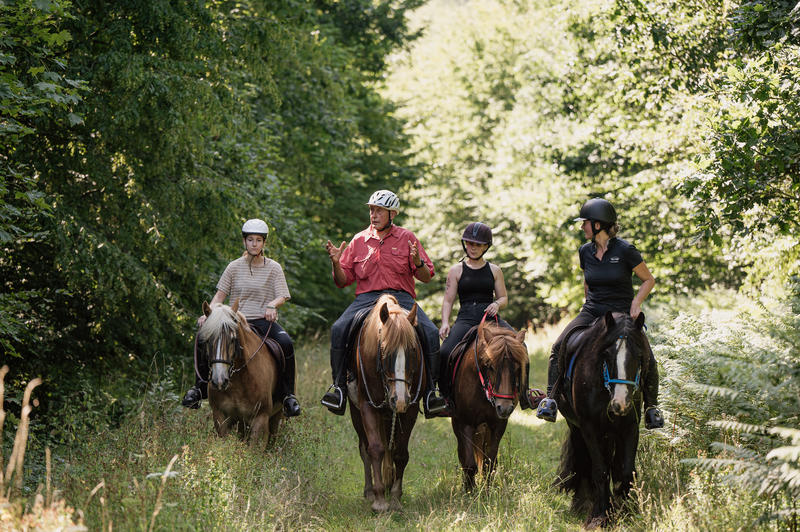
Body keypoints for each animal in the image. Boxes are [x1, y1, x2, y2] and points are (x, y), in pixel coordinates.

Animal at [199, 300, 283, 450]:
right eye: (208, 340)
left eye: (233, 339)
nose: (219, 381)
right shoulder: (220, 416)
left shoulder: (260, 418)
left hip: (276, 415)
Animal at [346, 294, 424, 512]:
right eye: (384, 350)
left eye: (413, 350)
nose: (400, 399)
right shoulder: (367, 407)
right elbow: (375, 449)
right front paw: (380, 500)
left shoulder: (410, 409)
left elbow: (400, 453)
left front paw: (395, 498)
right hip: (356, 413)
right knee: (364, 449)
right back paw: (370, 492)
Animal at [450, 320, 528, 490]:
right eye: (490, 366)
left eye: (517, 368)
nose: (504, 407)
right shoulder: (465, 423)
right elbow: (469, 463)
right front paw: (470, 491)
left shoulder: (497, 425)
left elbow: (489, 463)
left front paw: (487, 491)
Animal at [553, 311, 650, 529]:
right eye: (606, 355)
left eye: (639, 356)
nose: (620, 403)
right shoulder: (589, 427)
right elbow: (600, 471)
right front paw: (600, 516)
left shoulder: (630, 427)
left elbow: (625, 471)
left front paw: (626, 511)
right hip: (577, 428)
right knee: (584, 459)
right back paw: (582, 503)